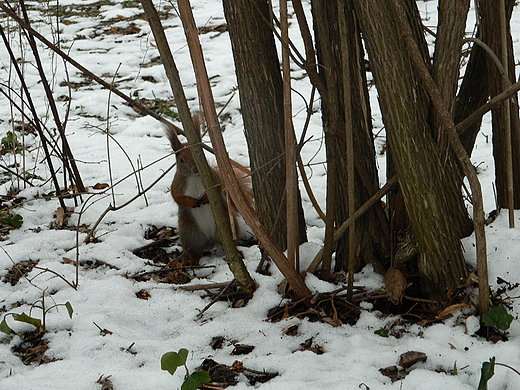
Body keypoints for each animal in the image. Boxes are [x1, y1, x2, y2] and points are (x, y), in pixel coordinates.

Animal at [167, 119, 254, 266]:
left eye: (199, 154)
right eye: (181, 160)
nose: (195, 169)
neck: (195, 177)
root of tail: (209, 238)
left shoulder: (214, 176)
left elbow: (219, 186)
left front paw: (206, 197)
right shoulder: (177, 185)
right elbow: (177, 197)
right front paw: (191, 202)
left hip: (227, 225)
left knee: (231, 244)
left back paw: (237, 253)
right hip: (190, 235)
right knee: (196, 252)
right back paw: (192, 260)